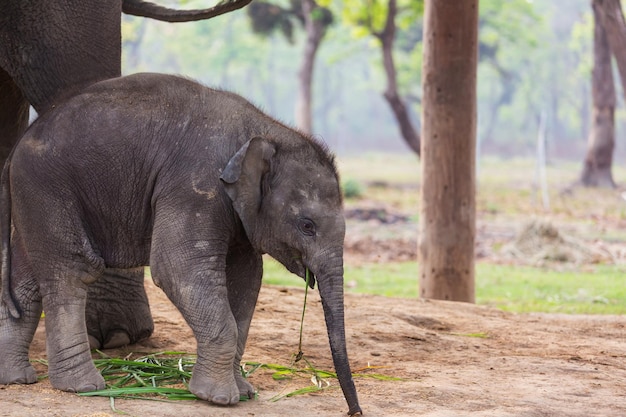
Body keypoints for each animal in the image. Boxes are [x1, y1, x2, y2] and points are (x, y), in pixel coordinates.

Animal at [0, 73, 360, 414]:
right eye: (307, 226)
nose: (353, 411)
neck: (265, 131)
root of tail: (17, 146)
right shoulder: (195, 184)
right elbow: (177, 267)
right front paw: (217, 398)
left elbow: (246, 279)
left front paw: (243, 393)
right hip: (47, 188)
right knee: (72, 270)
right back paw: (83, 386)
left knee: (27, 280)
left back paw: (16, 378)